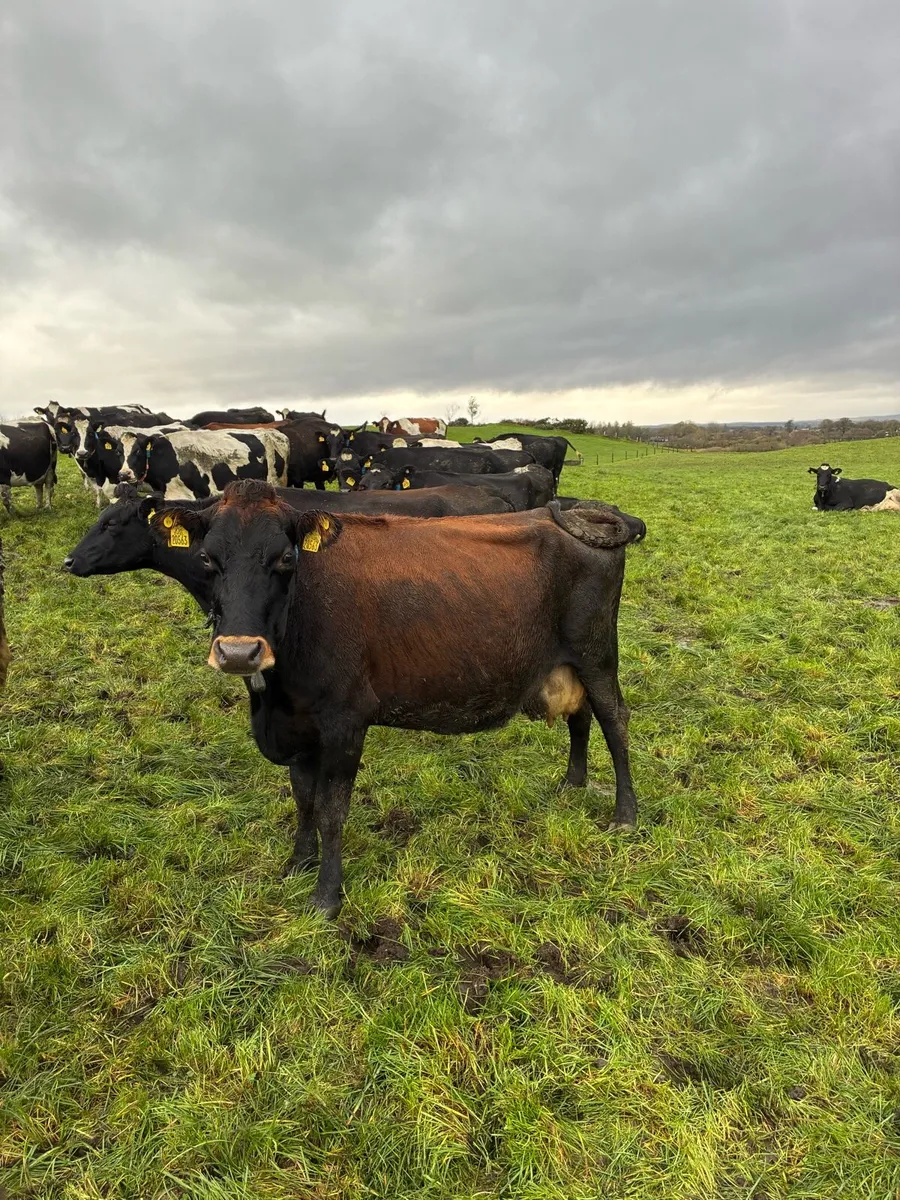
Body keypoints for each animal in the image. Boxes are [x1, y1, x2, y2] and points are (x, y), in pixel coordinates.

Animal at [144, 479, 645, 916]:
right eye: (207, 559)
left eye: (285, 557)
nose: (238, 652)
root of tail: (576, 515)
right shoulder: (299, 723)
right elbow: (303, 799)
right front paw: (298, 863)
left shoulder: (346, 721)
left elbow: (331, 810)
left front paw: (327, 896)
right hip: (569, 663)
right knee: (580, 716)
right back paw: (573, 782)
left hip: (597, 654)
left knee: (614, 720)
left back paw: (625, 814)